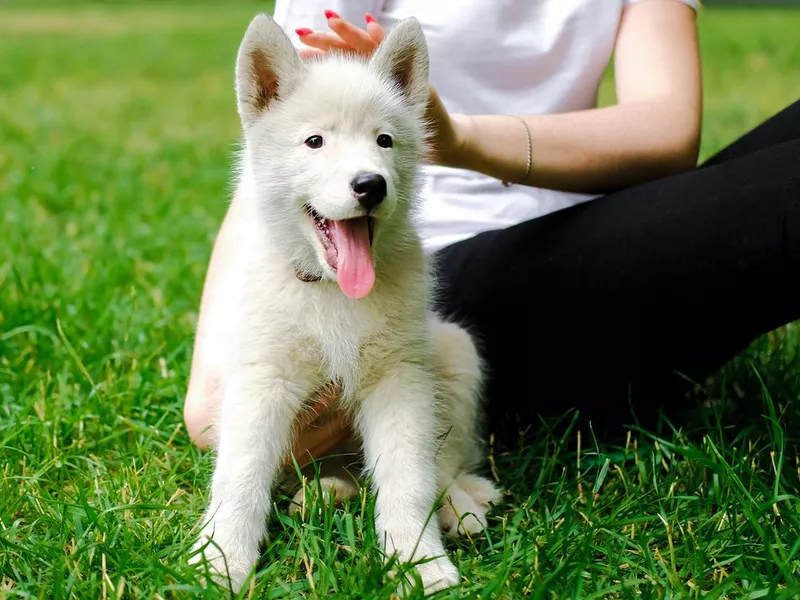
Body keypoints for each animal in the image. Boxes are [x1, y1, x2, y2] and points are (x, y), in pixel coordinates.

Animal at [189, 12, 500, 596]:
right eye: (315, 141)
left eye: (385, 140)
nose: (370, 185)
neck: (333, 291)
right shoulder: (260, 378)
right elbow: (240, 476)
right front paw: (220, 561)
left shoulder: (399, 379)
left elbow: (409, 478)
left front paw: (421, 563)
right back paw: (323, 491)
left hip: (452, 352)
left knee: (445, 462)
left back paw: (459, 504)